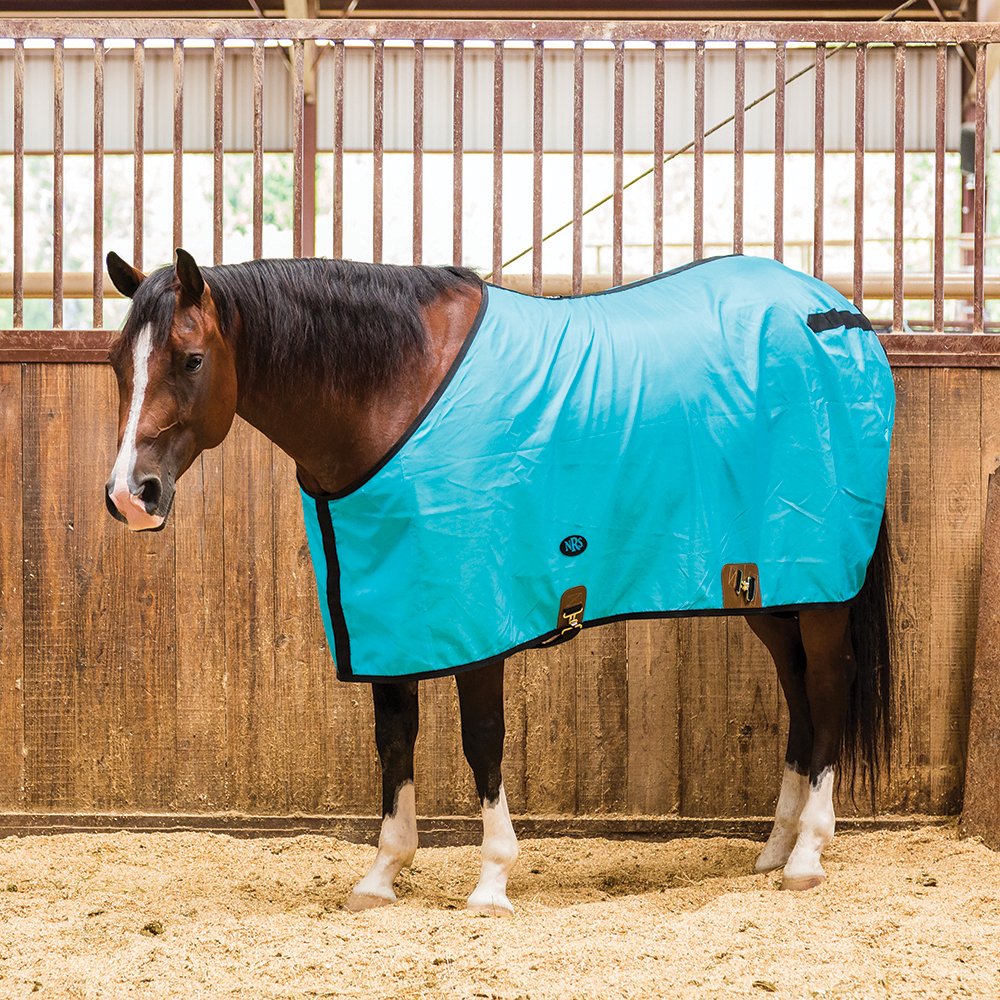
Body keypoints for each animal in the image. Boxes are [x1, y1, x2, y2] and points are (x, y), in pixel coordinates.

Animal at [104, 247, 894, 915]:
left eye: (192, 358)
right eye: (117, 362)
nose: (129, 496)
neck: (396, 392)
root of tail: (838, 314)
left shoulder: (477, 621)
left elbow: (481, 741)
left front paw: (491, 883)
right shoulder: (389, 616)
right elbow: (394, 740)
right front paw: (383, 876)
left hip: (819, 591)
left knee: (829, 686)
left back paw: (808, 855)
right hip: (769, 588)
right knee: (799, 693)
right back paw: (775, 848)